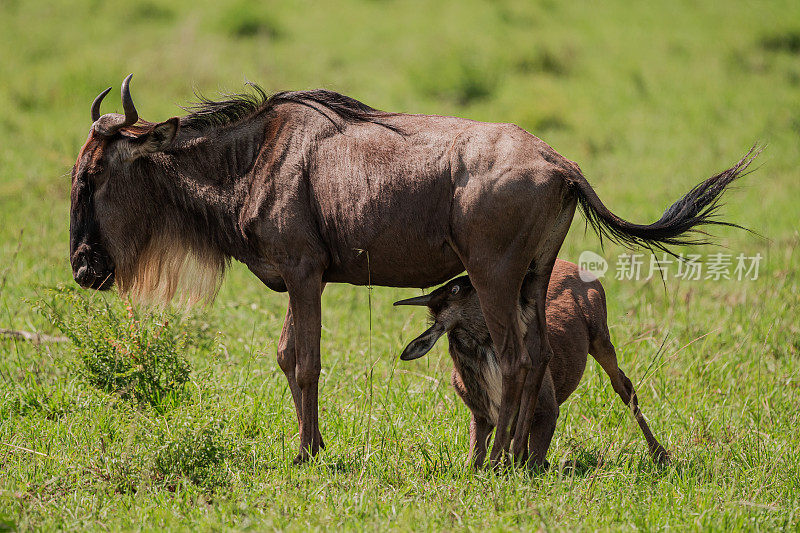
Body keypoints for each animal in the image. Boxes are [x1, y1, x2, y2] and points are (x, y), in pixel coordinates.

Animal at [396, 260, 668, 468]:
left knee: (624, 385)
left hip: (600, 335)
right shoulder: (480, 414)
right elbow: (475, 462)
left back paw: (660, 454)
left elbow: (531, 464)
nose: (520, 274)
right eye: (455, 288)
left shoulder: (547, 408)